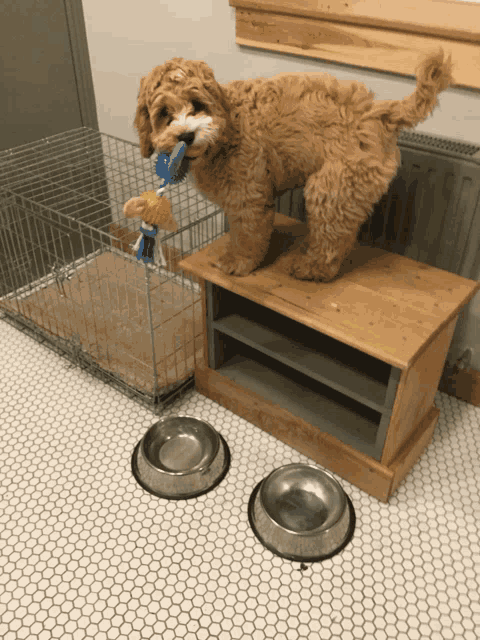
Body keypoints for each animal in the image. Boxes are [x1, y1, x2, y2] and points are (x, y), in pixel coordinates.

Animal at [133, 53, 452, 284]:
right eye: (164, 114)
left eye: (197, 104)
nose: (186, 135)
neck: (226, 128)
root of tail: (380, 109)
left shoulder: (248, 196)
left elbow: (247, 233)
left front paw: (238, 263)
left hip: (331, 187)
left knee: (333, 240)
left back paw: (312, 268)